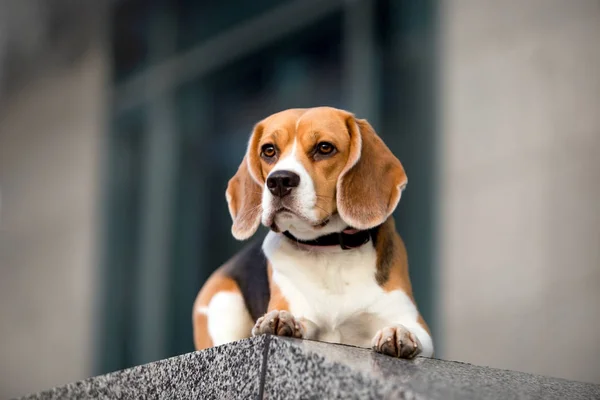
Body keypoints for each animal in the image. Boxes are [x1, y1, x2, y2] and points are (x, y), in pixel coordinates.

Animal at [195, 107, 434, 360]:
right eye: (269, 150)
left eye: (325, 147)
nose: (279, 180)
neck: (329, 249)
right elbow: (301, 320)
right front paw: (281, 319)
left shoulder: (415, 323)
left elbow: (406, 327)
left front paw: (398, 332)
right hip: (223, 304)